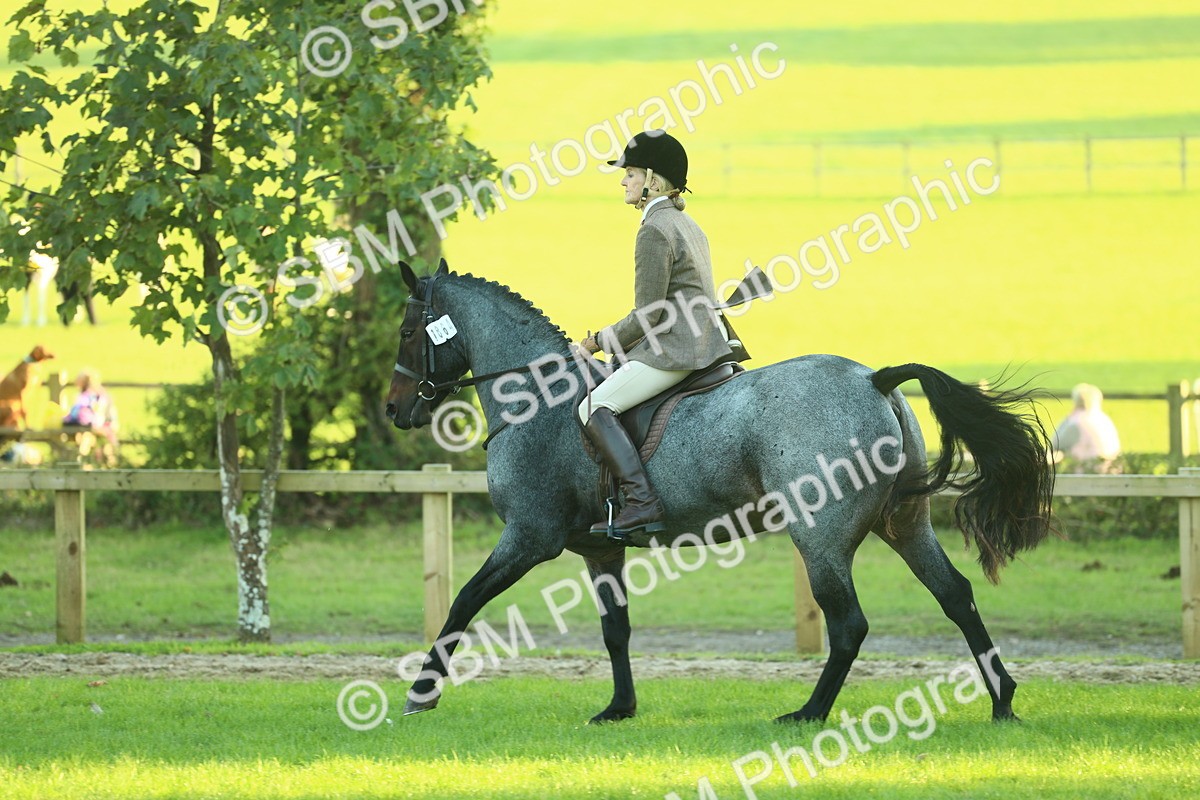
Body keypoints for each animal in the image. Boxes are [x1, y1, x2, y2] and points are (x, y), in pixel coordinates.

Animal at [385, 260, 1055, 724]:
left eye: (407, 330)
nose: (395, 411)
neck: (537, 400)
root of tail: (875, 378)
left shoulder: (529, 538)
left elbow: (461, 605)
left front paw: (421, 693)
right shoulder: (600, 549)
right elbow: (615, 629)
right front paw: (619, 709)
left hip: (820, 538)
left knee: (849, 625)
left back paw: (808, 714)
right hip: (905, 524)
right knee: (956, 596)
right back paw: (1002, 701)